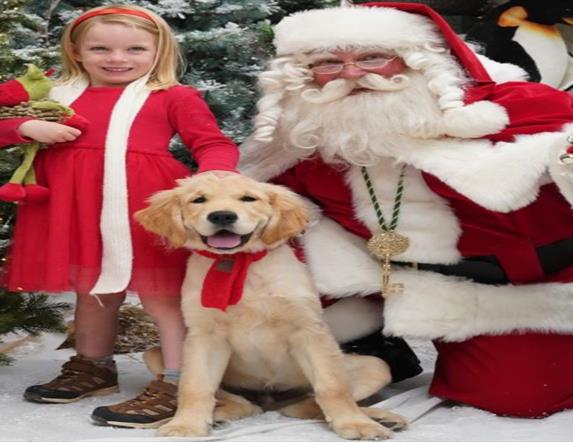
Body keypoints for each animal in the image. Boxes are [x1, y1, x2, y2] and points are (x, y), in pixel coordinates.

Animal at [134, 174, 404, 440]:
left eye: (248, 198)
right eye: (198, 200)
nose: (222, 216)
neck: (240, 265)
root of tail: (270, 401)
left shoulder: (308, 330)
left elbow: (333, 386)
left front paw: (357, 424)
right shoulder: (204, 336)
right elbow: (195, 386)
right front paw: (186, 425)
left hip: (378, 367)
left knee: (307, 403)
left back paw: (380, 417)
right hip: (155, 356)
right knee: (242, 403)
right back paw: (220, 415)